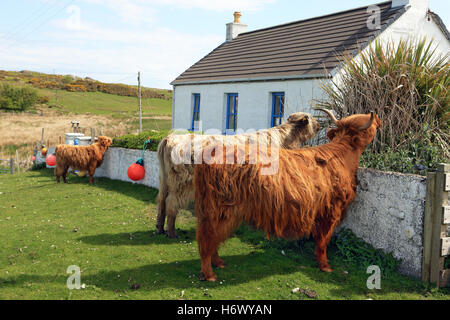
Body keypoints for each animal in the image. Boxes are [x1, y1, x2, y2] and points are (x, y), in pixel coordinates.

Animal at [156, 112, 322, 238]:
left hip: (165, 179)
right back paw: (171, 232)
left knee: (162, 200)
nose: (320, 124)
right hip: (182, 182)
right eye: (311, 118)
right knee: (171, 202)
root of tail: (170, 138)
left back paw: (160, 228)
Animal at [195, 111, 382, 282]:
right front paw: (325, 265)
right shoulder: (332, 210)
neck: (342, 157)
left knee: (214, 238)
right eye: (369, 124)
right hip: (218, 209)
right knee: (206, 238)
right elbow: (323, 240)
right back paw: (209, 274)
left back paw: (218, 262)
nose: (379, 119)